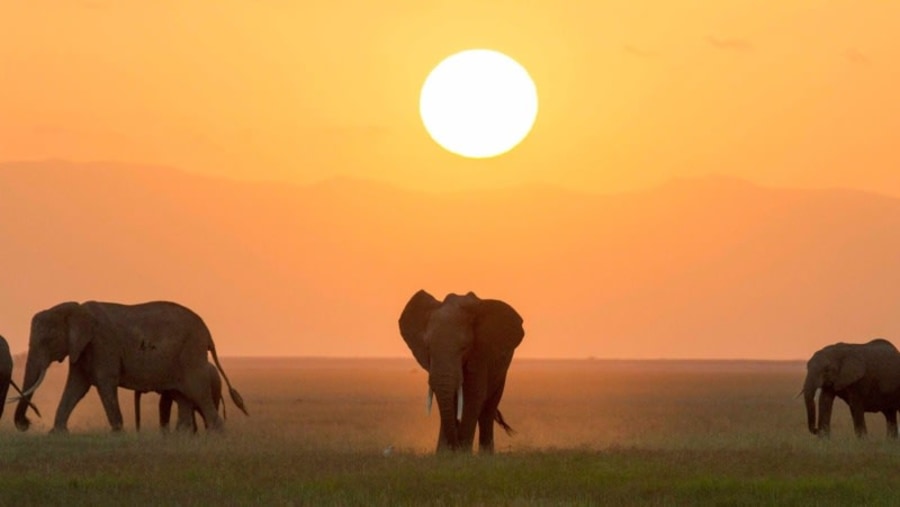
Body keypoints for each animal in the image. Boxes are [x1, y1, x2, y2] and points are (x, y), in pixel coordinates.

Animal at [16, 300, 250, 434]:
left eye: (47, 340)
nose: (26, 423)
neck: (77, 309)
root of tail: (208, 333)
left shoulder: (102, 344)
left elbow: (104, 383)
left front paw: (118, 433)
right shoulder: (83, 350)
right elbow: (76, 387)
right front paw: (57, 433)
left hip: (191, 353)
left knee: (197, 391)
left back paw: (216, 435)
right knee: (183, 395)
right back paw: (182, 437)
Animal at [398, 290, 524, 452]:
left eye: (464, 348)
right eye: (428, 348)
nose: (455, 446)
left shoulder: (481, 352)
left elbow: (473, 394)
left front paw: (462, 453)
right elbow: (449, 397)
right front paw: (444, 454)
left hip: (502, 371)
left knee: (488, 410)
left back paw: (486, 454)